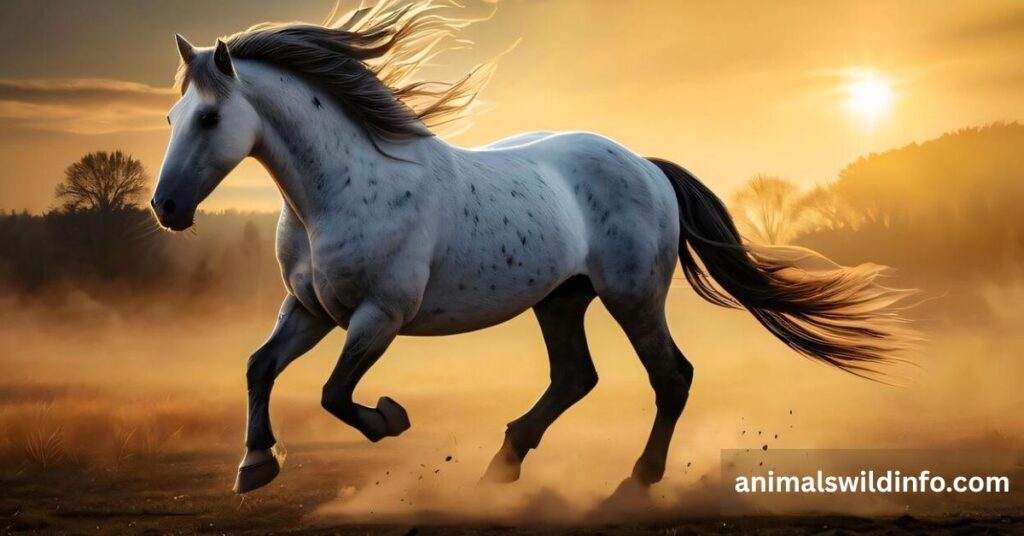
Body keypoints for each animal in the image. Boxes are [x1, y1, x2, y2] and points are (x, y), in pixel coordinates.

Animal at [151, 0, 913, 496]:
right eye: (170, 117)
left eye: (210, 117)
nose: (166, 209)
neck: (342, 188)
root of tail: (646, 165)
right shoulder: (311, 310)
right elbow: (259, 367)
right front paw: (254, 466)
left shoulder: (379, 315)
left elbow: (337, 394)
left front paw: (391, 418)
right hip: (561, 299)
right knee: (576, 376)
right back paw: (505, 462)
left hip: (632, 295)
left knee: (671, 377)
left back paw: (635, 482)